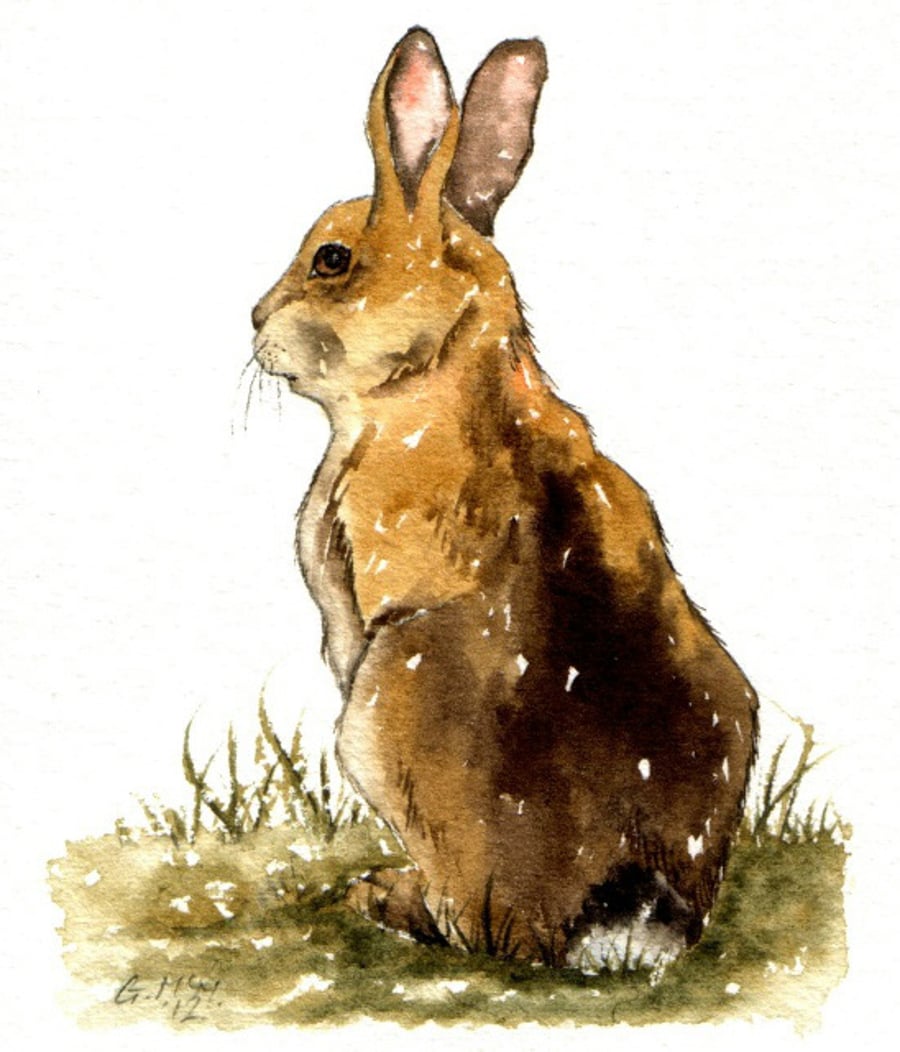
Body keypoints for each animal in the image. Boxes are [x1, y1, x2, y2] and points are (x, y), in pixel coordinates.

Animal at [252, 27, 758, 971]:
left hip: (380, 716)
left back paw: (384, 895)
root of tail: (614, 920)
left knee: (471, 928)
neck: (438, 367)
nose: (256, 320)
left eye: (332, 260)